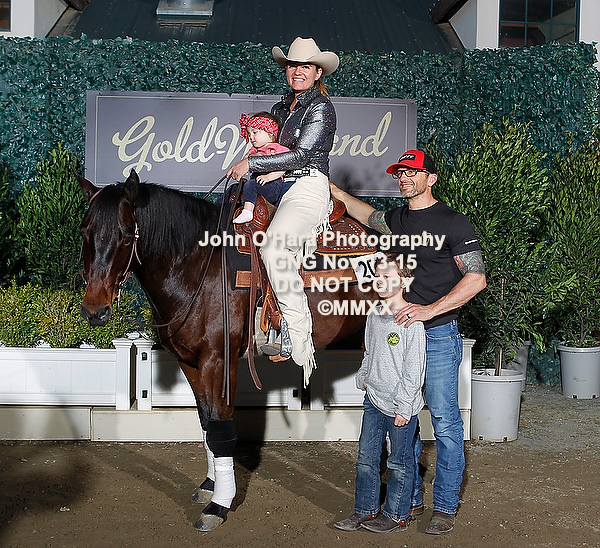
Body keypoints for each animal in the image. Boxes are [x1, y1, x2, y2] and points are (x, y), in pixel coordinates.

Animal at [77, 169, 375, 531]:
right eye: (85, 232)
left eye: (123, 236)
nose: (94, 310)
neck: (196, 265)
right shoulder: (190, 363)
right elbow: (207, 424)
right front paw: (210, 485)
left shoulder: (218, 362)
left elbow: (221, 428)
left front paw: (219, 504)